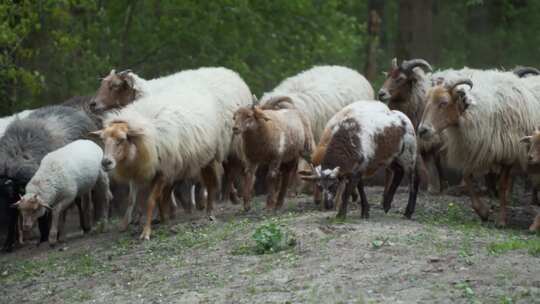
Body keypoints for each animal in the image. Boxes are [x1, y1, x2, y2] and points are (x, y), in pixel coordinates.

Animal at [418, 72, 540, 226]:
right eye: (426, 102)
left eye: (444, 102)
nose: (422, 130)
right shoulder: (473, 150)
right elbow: (467, 177)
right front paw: (483, 212)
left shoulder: (508, 154)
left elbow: (502, 186)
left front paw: (501, 220)